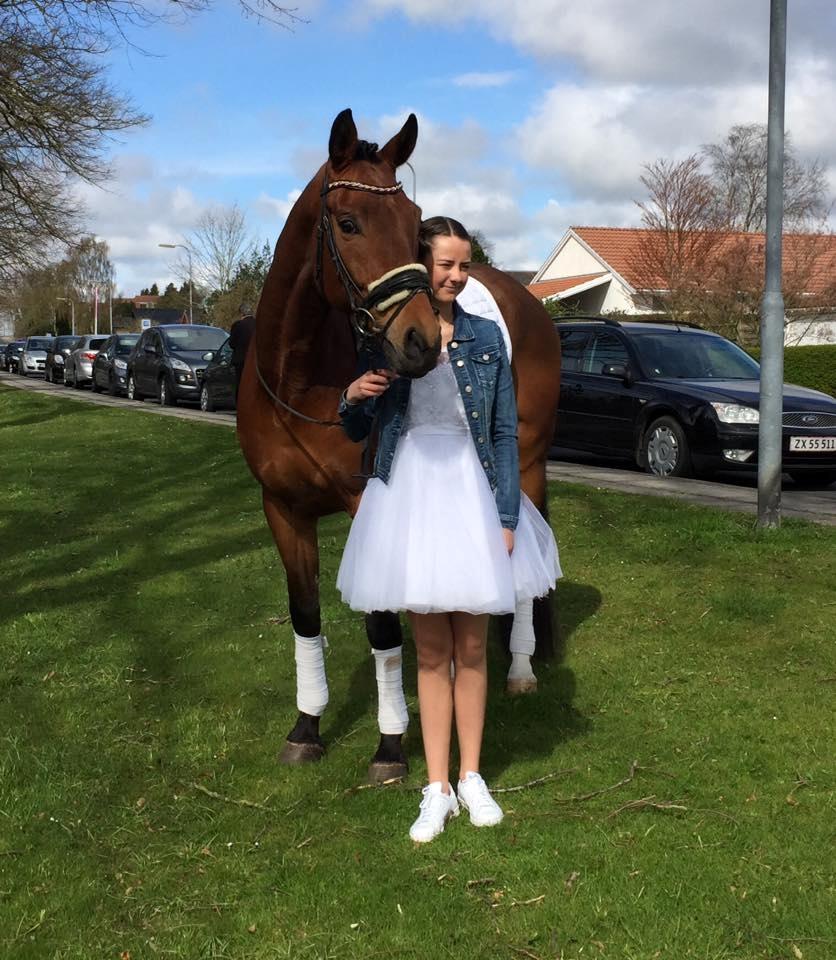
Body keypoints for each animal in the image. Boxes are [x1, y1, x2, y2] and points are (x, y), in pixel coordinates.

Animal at [235, 109, 560, 780]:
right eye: (349, 222)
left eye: (415, 226)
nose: (419, 340)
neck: (299, 383)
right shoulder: (281, 508)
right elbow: (305, 616)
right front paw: (306, 727)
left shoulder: (368, 503)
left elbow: (382, 628)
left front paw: (390, 746)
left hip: (527, 463)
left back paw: (518, 668)